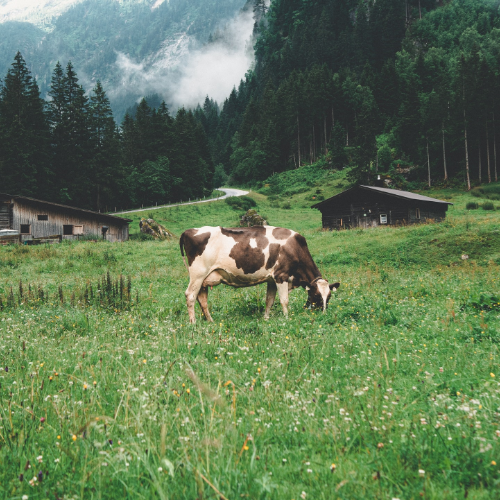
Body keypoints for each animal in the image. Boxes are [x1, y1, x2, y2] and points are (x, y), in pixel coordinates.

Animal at [180, 226, 340, 324]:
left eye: (329, 297)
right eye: (316, 296)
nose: (323, 314)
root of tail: (189, 230)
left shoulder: (271, 279)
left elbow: (269, 300)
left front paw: (266, 317)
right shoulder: (281, 276)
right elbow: (284, 300)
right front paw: (286, 318)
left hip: (204, 279)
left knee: (202, 299)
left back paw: (210, 321)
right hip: (197, 274)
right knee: (190, 295)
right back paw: (193, 322)